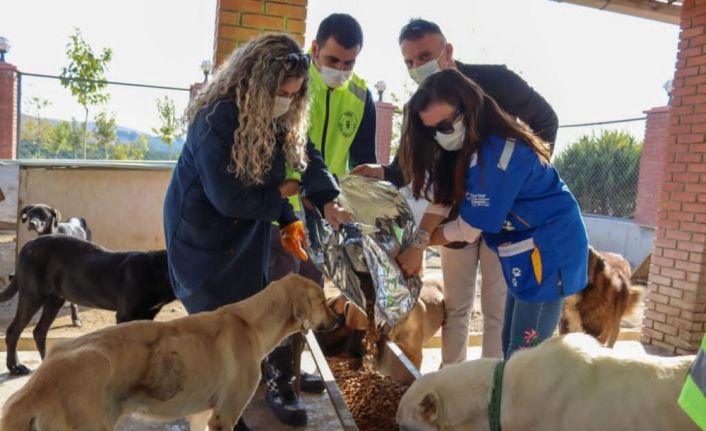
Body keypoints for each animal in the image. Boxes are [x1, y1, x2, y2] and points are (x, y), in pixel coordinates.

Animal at [0, 235, 174, 376]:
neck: (155, 271)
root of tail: (28, 245)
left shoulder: (148, 314)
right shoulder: (125, 316)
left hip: (55, 300)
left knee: (39, 331)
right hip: (32, 296)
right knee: (13, 331)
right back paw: (15, 367)